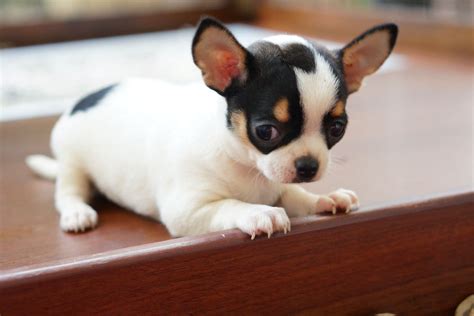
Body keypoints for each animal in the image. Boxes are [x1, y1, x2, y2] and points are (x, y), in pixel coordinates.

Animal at [25, 17, 396, 238]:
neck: (248, 168)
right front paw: (259, 212)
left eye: (337, 128)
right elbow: (230, 205)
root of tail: (86, 98)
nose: (308, 166)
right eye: (266, 131)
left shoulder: (279, 186)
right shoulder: (189, 209)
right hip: (73, 164)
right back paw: (77, 212)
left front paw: (324, 198)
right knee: (68, 192)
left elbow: (296, 195)